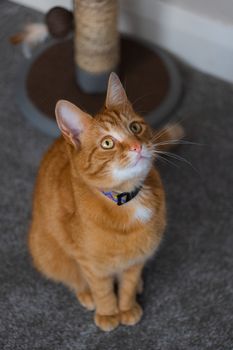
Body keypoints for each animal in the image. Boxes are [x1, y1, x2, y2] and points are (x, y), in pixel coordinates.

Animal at [28, 73, 183, 330]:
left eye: (134, 127)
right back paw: (86, 295)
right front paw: (109, 313)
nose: (137, 146)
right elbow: (103, 290)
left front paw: (127, 307)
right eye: (107, 143)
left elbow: (127, 285)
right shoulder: (91, 264)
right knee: (73, 279)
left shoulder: (137, 258)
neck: (127, 200)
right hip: (46, 253)